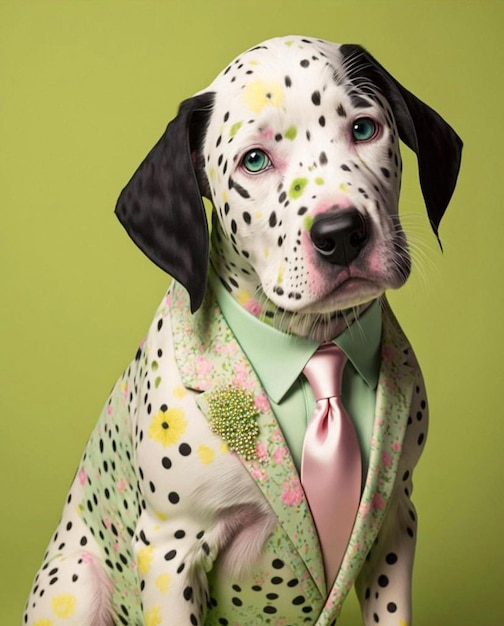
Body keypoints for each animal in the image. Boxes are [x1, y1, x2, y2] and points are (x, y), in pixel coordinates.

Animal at [26, 35, 460, 624]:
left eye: (364, 128)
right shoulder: (171, 552)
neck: (313, 346)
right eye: (254, 160)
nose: (341, 234)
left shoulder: (393, 526)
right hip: (75, 583)